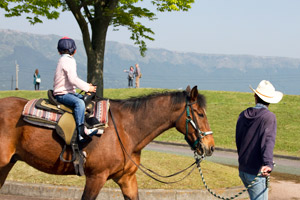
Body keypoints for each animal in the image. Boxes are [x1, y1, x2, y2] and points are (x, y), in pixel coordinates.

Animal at [0, 85, 216, 199]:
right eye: (200, 113)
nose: (210, 146)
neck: (126, 129)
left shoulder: (126, 179)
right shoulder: (96, 177)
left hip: (7, 164)